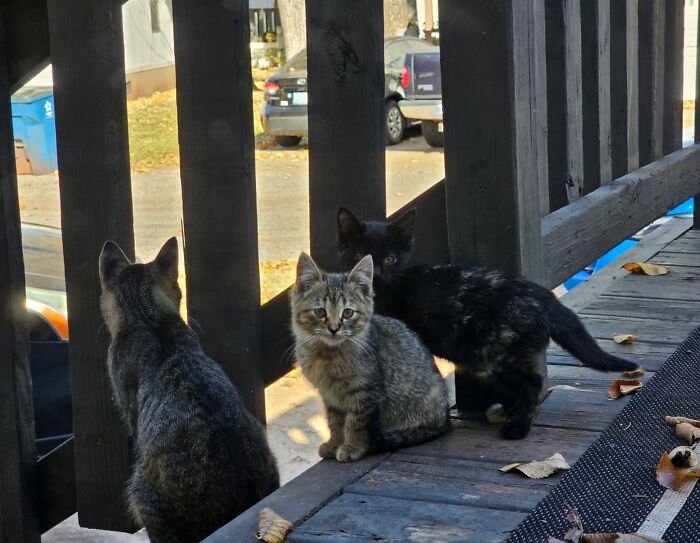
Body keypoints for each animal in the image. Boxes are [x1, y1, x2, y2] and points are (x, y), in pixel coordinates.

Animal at [290, 252, 448, 464]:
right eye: (320, 312)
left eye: (348, 313)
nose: (334, 328)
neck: (328, 356)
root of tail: (445, 418)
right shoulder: (330, 396)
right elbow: (334, 422)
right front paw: (334, 443)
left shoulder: (366, 393)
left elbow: (355, 423)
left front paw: (352, 447)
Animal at [336, 208, 636, 442]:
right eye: (358, 256)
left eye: (390, 259)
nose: (376, 274)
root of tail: (543, 295)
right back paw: (507, 412)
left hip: (496, 356)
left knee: (534, 385)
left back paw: (518, 427)